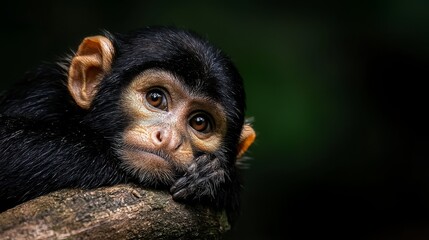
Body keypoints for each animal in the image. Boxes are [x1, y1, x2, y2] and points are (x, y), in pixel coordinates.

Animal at [0, 26, 254, 221]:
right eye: (155, 97)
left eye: (200, 122)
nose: (169, 138)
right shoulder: (40, 95)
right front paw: (215, 180)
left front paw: (211, 177)